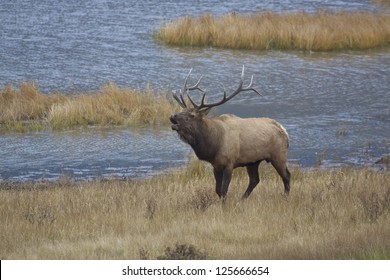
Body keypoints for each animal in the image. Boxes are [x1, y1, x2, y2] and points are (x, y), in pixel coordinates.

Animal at [169, 66, 290, 199]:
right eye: (182, 110)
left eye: (192, 115)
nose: (172, 116)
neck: (214, 145)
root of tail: (284, 131)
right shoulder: (216, 165)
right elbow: (218, 190)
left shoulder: (229, 163)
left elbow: (224, 190)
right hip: (253, 161)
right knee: (255, 180)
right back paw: (242, 199)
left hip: (278, 155)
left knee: (286, 176)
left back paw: (285, 197)